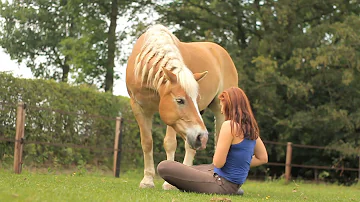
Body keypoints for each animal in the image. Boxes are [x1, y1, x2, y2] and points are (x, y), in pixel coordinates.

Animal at [125, 24, 238, 189]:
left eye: (196, 99)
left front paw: (168, 183)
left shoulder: (172, 118)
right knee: (190, 146)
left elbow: (170, 143)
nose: (202, 137)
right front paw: (147, 180)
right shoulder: (139, 108)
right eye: (180, 100)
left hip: (220, 111)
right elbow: (147, 143)